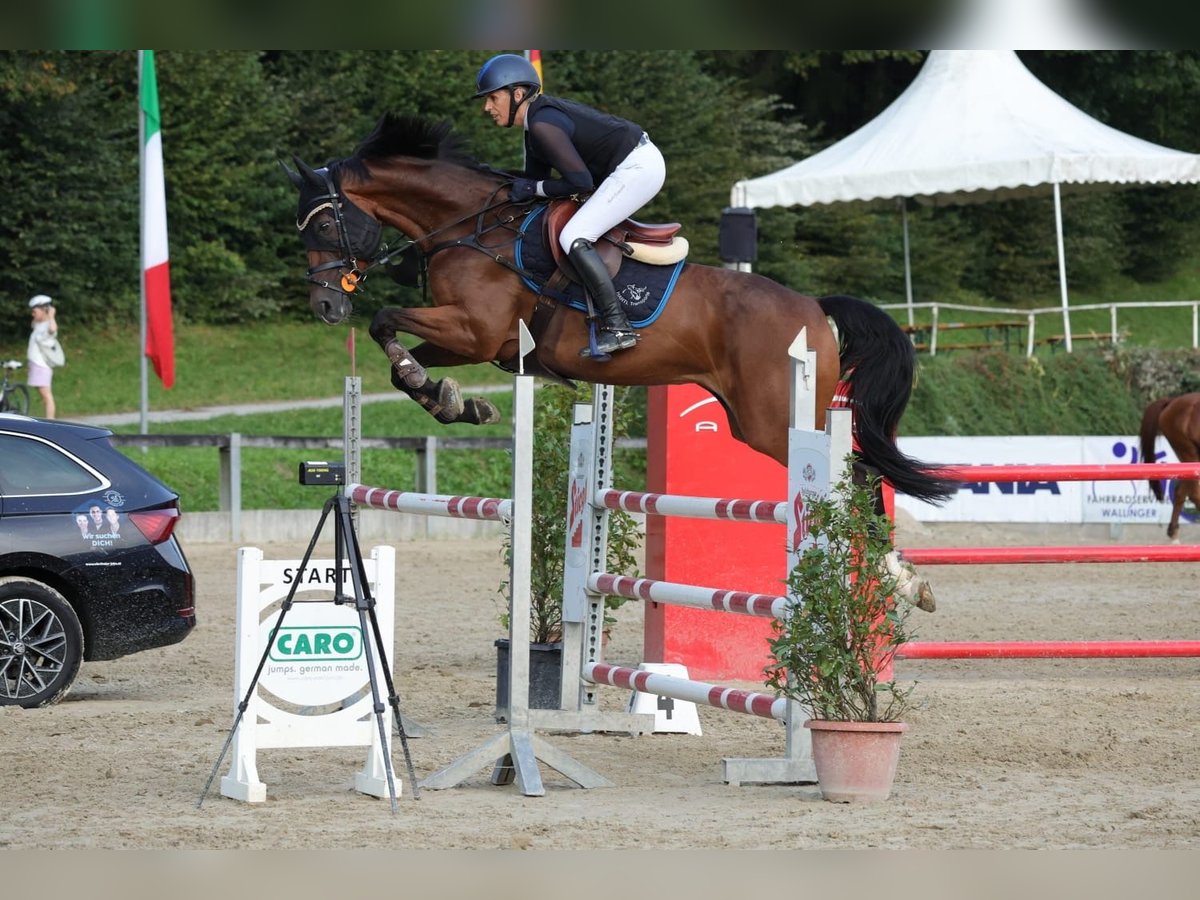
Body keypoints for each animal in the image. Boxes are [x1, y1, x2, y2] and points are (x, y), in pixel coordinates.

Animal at [285, 112, 960, 607]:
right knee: (860, 476)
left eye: (324, 226)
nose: (325, 306)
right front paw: (451, 399)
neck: (471, 228)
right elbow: (396, 349)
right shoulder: (476, 340)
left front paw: (437, 389)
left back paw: (901, 579)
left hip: (776, 420)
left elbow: (383, 319)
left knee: (860, 476)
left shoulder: (477, 331)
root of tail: (813, 306)